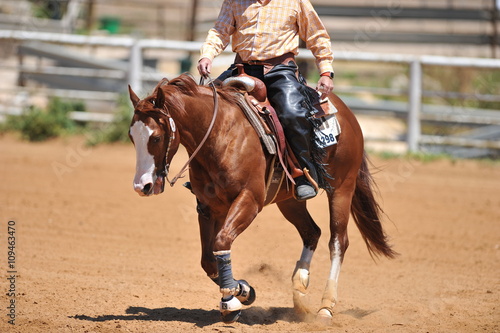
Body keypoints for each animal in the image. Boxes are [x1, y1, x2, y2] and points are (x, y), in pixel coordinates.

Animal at [127, 74, 396, 322]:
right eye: (132, 137)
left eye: (156, 137)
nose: (142, 185)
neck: (222, 135)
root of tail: (347, 113)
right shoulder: (209, 207)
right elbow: (208, 259)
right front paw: (243, 290)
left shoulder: (249, 201)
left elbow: (222, 242)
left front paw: (230, 302)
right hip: (289, 201)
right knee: (312, 232)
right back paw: (299, 287)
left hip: (342, 188)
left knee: (338, 241)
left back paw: (325, 307)